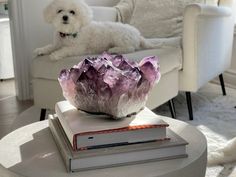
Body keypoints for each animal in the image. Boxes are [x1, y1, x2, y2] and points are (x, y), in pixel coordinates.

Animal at [34, 0, 164, 60]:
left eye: (72, 12)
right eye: (59, 11)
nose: (65, 17)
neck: (68, 33)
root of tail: (138, 35)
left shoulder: (78, 48)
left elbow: (65, 50)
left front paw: (55, 54)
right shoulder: (57, 43)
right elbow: (50, 46)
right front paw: (41, 50)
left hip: (119, 36)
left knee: (130, 48)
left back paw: (114, 50)